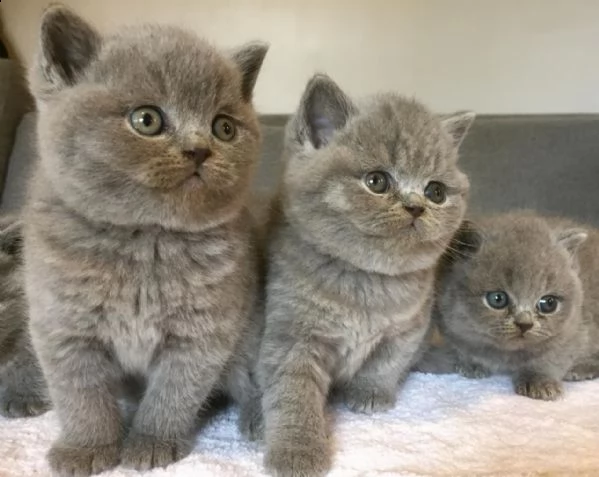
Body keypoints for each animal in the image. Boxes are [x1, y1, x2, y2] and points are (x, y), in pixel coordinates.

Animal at [24, 5, 268, 474]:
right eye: (147, 120)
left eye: (224, 128)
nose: (199, 149)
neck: (146, 239)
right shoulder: (63, 325)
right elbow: (79, 394)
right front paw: (88, 448)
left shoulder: (203, 330)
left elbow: (174, 391)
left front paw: (151, 442)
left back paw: (258, 420)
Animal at [253, 74, 474, 476]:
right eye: (377, 182)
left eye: (435, 191)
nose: (416, 207)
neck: (367, 283)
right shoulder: (291, 334)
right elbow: (293, 392)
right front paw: (296, 450)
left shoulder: (410, 326)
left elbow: (388, 361)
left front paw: (370, 393)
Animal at [422, 210, 599, 400]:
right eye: (497, 299)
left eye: (549, 303)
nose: (525, 324)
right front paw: (471, 364)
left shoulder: (573, 331)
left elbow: (551, 358)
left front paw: (538, 381)